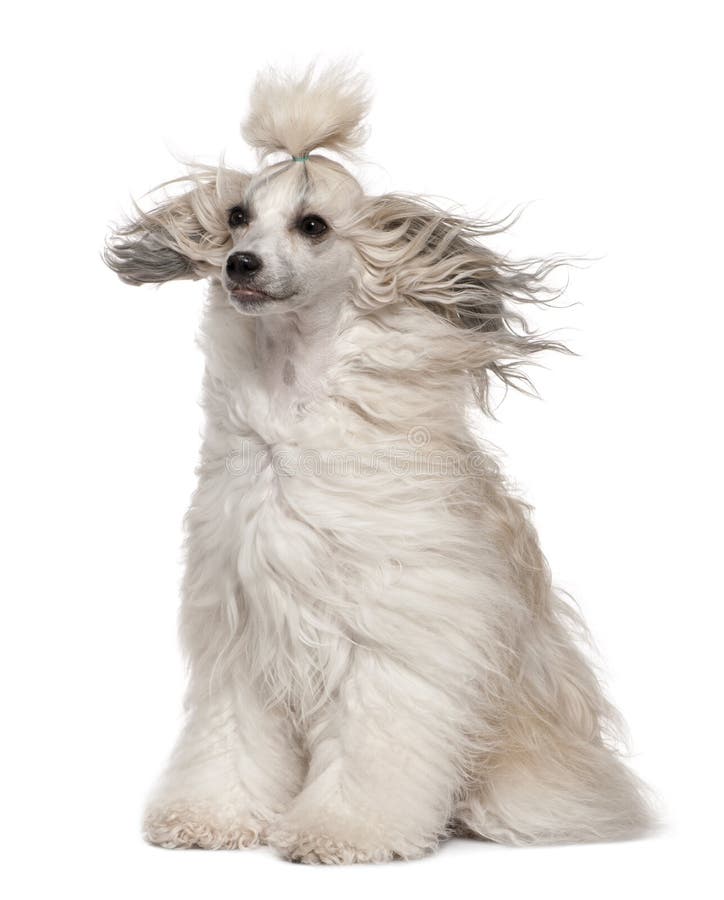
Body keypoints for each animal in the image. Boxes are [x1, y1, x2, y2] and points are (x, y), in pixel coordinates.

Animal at [103, 65, 652, 864]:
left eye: (312, 225)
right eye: (237, 216)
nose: (240, 263)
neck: (291, 408)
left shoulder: (390, 640)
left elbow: (373, 751)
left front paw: (341, 832)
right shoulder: (240, 640)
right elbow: (229, 744)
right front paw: (212, 816)